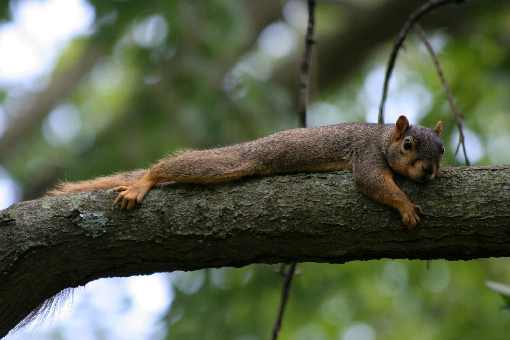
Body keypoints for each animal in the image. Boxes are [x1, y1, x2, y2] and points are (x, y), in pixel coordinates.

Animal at [49, 115, 444, 228]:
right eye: (408, 145)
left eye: (442, 149)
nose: (428, 171)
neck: (382, 138)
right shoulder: (366, 156)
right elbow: (372, 182)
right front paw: (405, 205)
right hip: (236, 161)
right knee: (169, 168)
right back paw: (143, 183)